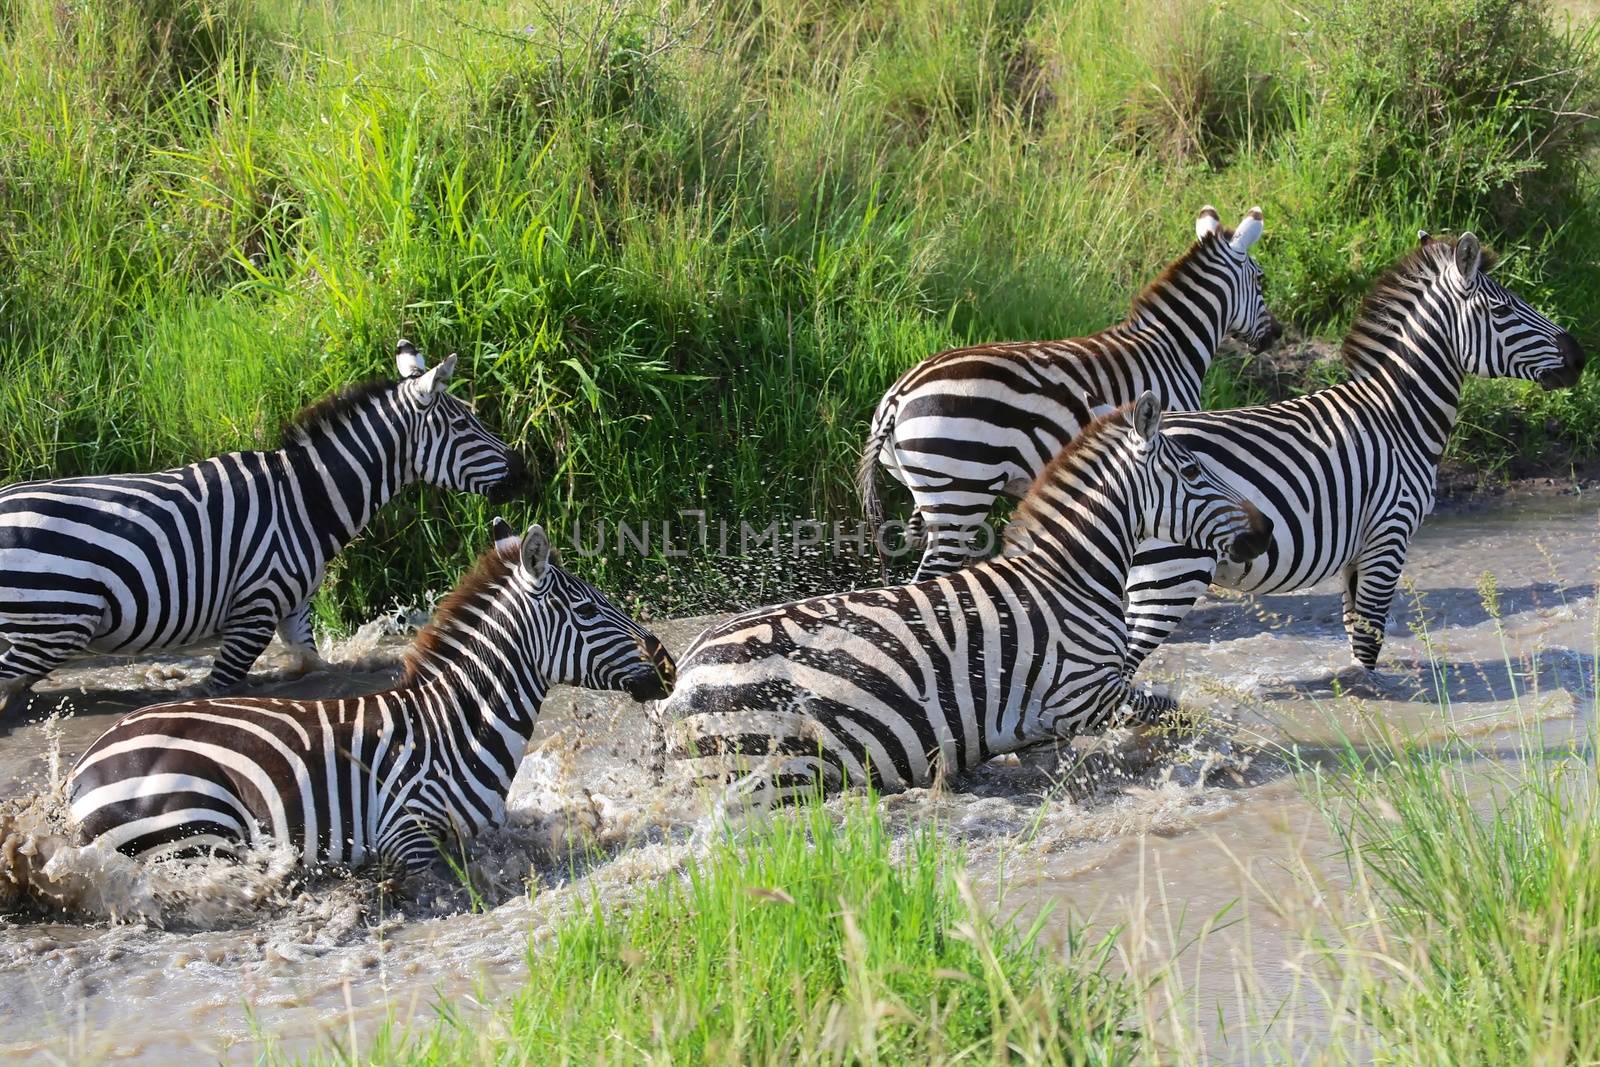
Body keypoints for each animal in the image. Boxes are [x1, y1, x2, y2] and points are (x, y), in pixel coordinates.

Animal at [0, 343, 518, 710]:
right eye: (466, 426)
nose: (526, 473)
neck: (305, 498)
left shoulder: (294, 609)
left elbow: (314, 667)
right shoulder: (255, 607)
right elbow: (216, 689)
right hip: (52, 625)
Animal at [62, 518, 672, 876]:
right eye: (589, 610)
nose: (665, 662)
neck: (455, 730)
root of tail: (84, 768)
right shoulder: (408, 839)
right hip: (196, 833)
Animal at [656, 391, 1267, 809]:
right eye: (1193, 471)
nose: (1260, 536)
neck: (1069, 578)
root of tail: (681, 677)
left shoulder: (1053, 717)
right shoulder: (1083, 694)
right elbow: (1178, 713)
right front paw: (1224, 760)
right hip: (773, 770)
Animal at [857, 204, 1280, 579]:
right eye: (1261, 280)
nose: (1275, 336)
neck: (1168, 346)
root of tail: (898, 396)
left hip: (930, 491)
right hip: (961, 494)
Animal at [1120, 235, 1580, 681]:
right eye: (1503, 309)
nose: (1580, 356)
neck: (1399, 417)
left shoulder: (1358, 550)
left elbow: (1355, 633)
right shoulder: (1390, 533)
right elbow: (1369, 638)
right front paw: (1377, 700)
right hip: (1171, 573)